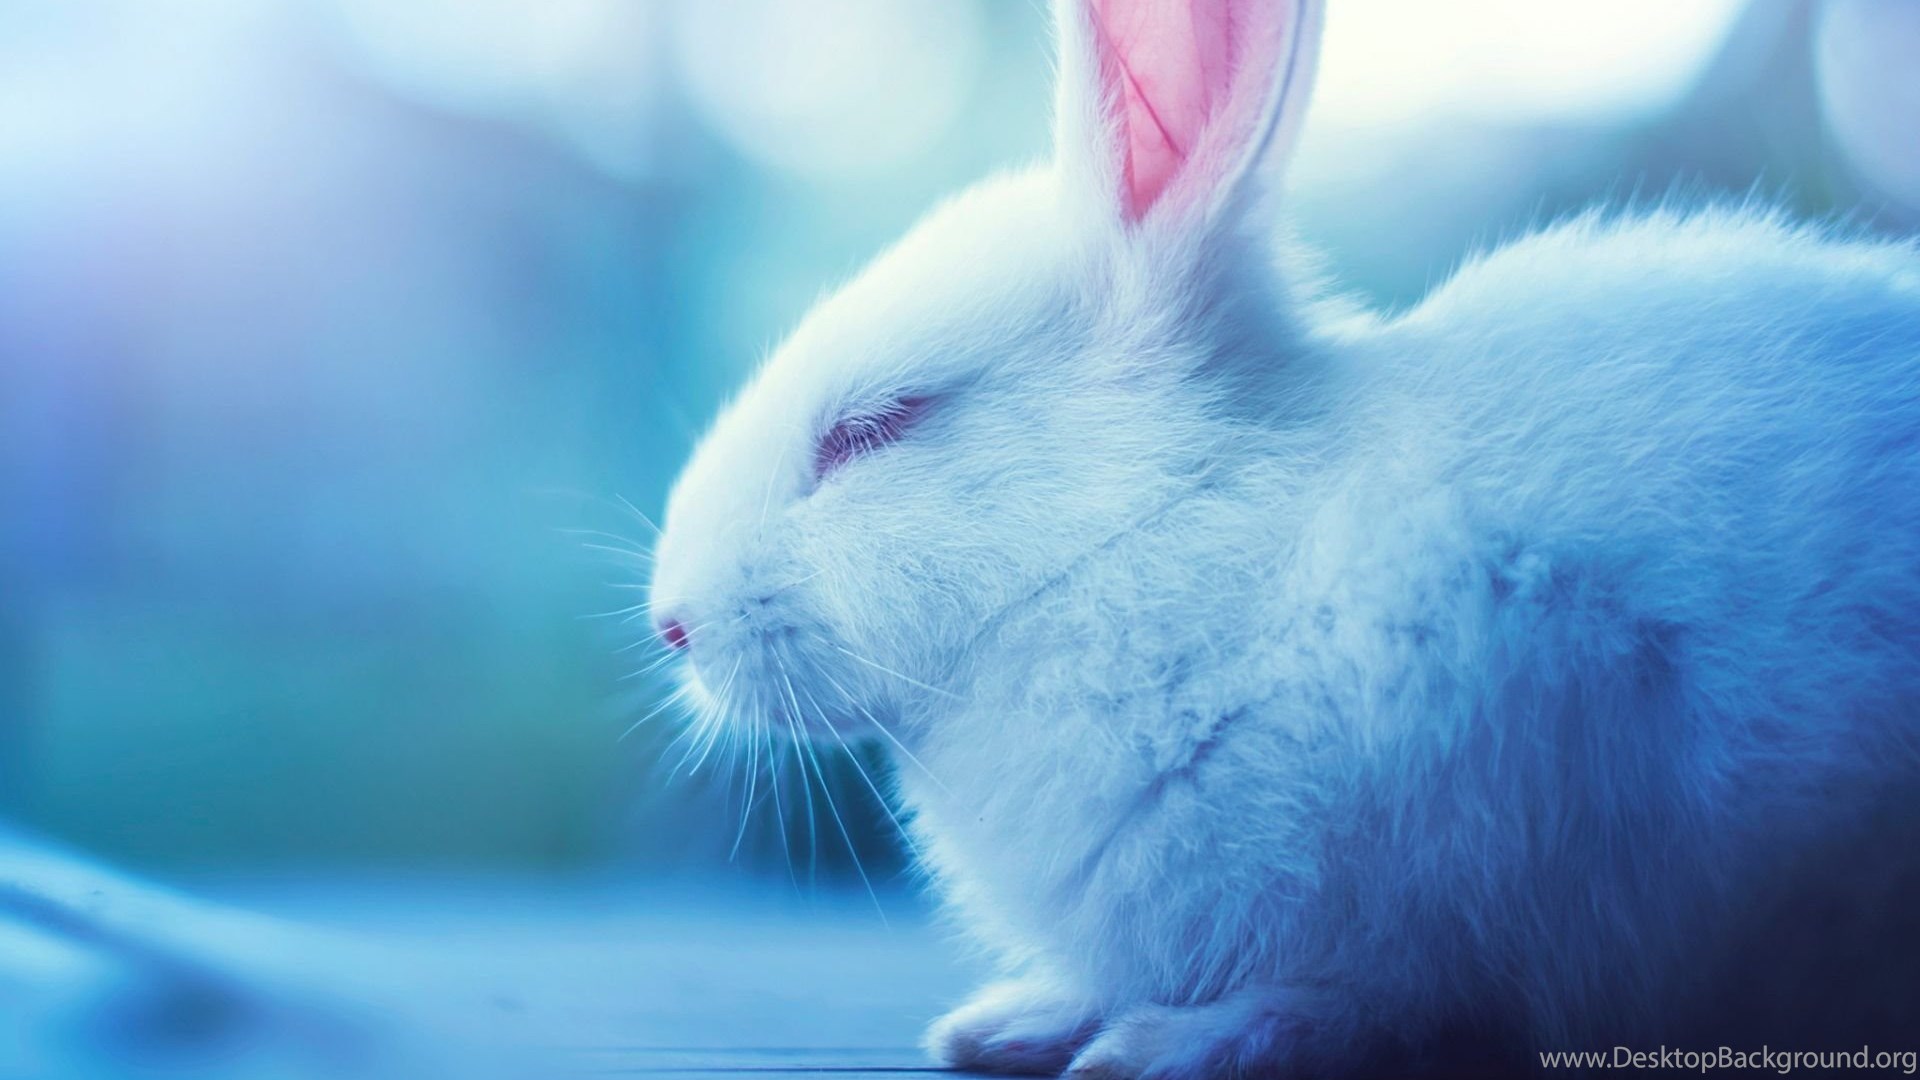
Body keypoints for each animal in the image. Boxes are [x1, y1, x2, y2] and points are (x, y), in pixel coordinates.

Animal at [646, 0, 1920, 1075]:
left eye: (879, 426)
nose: (671, 624)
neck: (1145, 538)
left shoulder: (1475, 860)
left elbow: (1370, 1000)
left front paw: (1167, 1048)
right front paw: (1011, 1022)